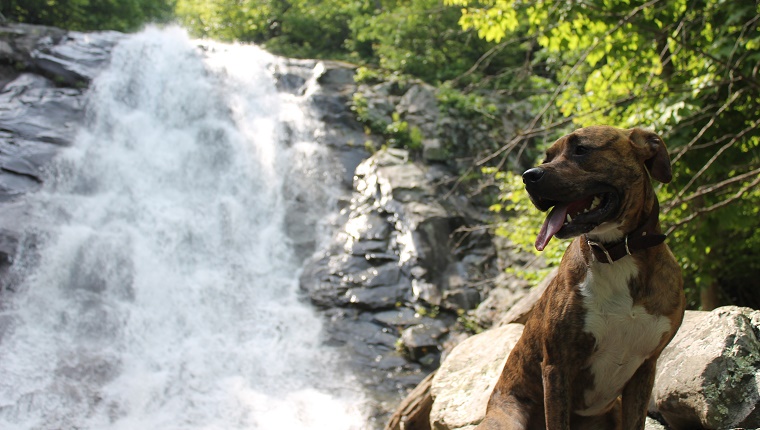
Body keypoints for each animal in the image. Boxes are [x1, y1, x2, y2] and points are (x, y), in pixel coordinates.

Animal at [480, 126, 688, 428]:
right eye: (548, 157)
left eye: (581, 150)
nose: (529, 176)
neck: (617, 253)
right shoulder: (557, 367)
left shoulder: (645, 369)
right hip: (508, 419)